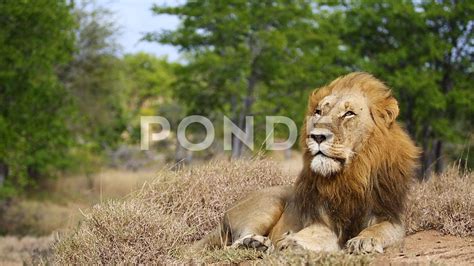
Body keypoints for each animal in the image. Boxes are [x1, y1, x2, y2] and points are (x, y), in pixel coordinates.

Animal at [193, 72, 418, 254]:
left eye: (349, 114)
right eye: (319, 112)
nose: (316, 136)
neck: (352, 175)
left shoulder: (390, 216)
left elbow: (379, 229)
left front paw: (364, 241)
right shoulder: (323, 222)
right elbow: (316, 235)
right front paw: (293, 241)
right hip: (268, 203)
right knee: (234, 242)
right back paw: (254, 244)